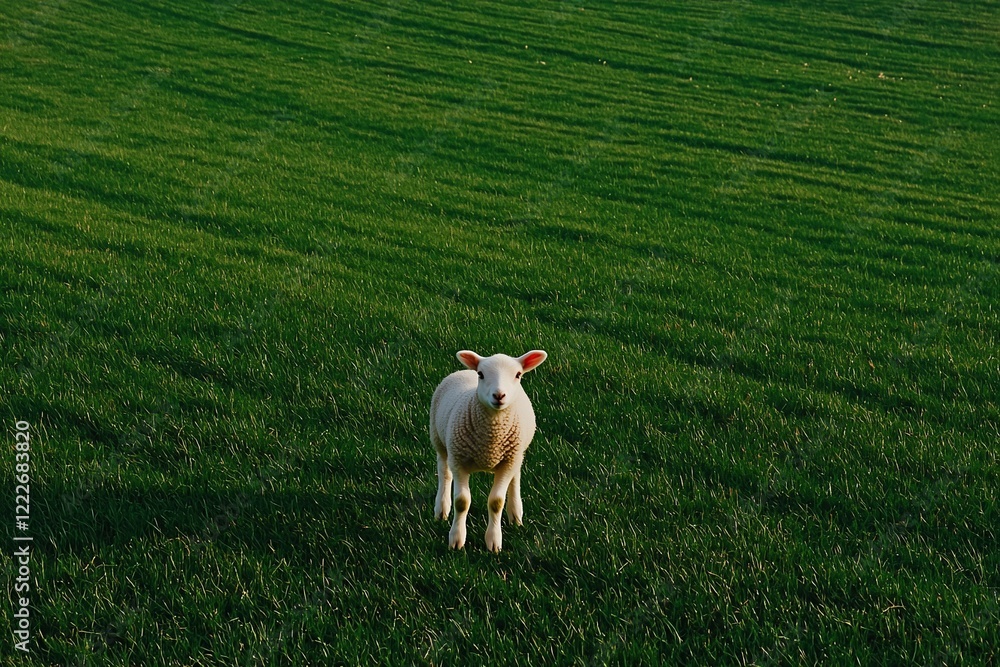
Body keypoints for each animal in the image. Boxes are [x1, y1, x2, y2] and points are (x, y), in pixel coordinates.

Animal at [429, 349, 548, 552]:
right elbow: (462, 502)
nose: (499, 395)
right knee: (444, 473)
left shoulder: (508, 461)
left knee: (515, 477)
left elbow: (496, 502)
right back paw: (441, 509)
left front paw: (493, 541)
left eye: (518, 375)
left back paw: (515, 514)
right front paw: (456, 539)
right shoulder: (459, 460)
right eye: (481, 374)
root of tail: (465, 370)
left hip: (517, 453)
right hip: (440, 442)